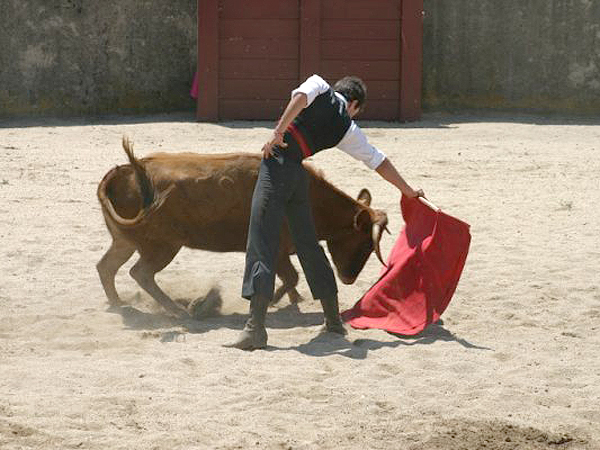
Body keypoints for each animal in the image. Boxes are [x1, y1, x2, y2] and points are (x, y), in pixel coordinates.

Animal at [98, 137, 390, 316]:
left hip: (126, 241)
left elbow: (290, 278)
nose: (349, 278)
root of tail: (128, 169)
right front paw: (274, 301)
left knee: (107, 267)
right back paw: (179, 311)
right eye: (365, 243)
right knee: (141, 273)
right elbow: (291, 277)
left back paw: (119, 305)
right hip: (163, 246)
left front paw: (293, 300)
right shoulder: (279, 249)